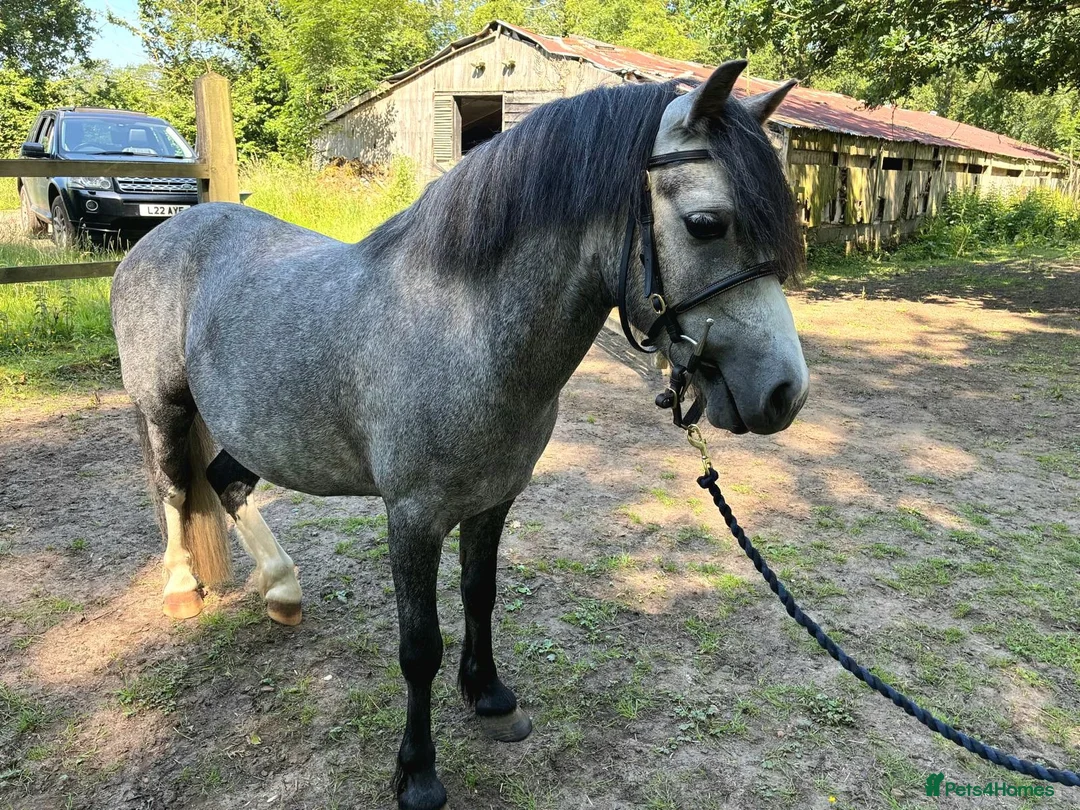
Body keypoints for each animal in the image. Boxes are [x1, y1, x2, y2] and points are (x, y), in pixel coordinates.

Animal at [110, 60, 808, 810]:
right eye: (707, 224)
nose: (785, 393)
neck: (465, 331)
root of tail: (160, 238)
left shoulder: (493, 501)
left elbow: (481, 596)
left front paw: (491, 696)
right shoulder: (413, 519)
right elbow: (420, 648)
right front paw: (417, 772)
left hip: (254, 428)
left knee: (225, 483)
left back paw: (282, 589)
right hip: (165, 410)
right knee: (175, 491)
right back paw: (182, 588)